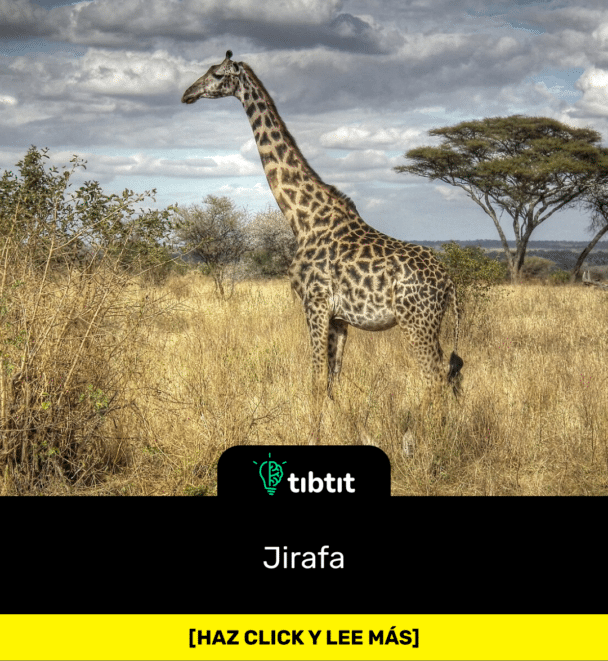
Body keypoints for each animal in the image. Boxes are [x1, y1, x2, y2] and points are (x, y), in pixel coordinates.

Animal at [182, 51, 463, 421]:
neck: (303, 218)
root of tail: (449, 282)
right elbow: (333, 381)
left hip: (416, 321)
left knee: (435, 377)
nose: (187, 94)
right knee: (451, 374)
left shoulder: (313, 303)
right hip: (429, 323)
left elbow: (315, 380)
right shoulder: (339, 318)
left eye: (216, 74)